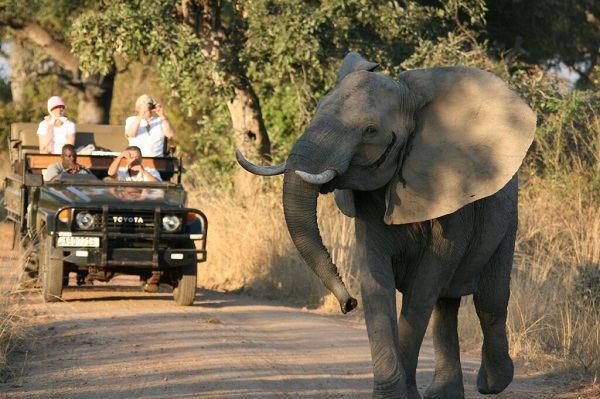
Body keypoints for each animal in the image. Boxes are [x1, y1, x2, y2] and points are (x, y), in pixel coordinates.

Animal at [237, 53, 536, 399]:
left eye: (370, 130)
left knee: (490, 300)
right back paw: (445, 394)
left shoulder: (453, 199)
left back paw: (492, 384)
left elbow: (422, 288)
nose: (347, 304)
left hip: (506, 218)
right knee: (445, 306)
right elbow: (375, 279)